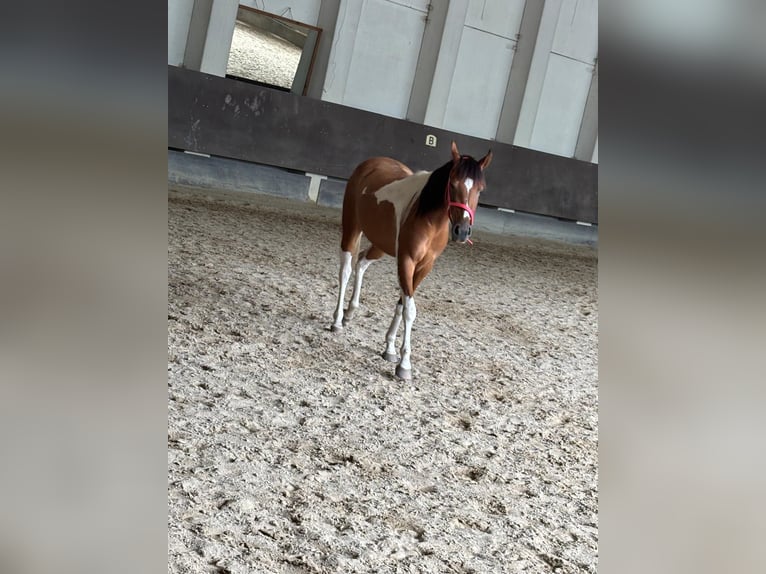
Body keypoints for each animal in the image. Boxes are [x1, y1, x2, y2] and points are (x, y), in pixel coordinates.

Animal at [330, 140, 493, 380]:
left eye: (480, 189)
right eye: (453, 183)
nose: (462, 231)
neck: (428, 218)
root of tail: (370, 163)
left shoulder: (424, 267)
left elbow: (401, 304)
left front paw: (389, 348)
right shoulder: (406, 260)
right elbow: (410, 309)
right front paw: (404, 364)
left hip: (381, 245)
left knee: (361, 263)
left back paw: (350, 312)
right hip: (352, 227)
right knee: (346, 270)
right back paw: (337, 321)